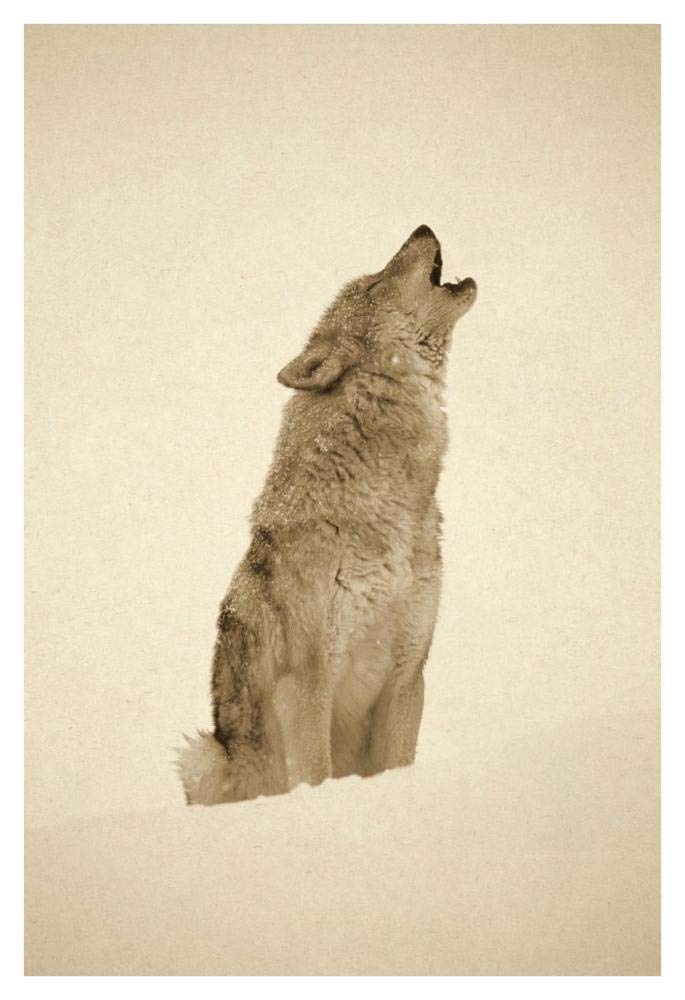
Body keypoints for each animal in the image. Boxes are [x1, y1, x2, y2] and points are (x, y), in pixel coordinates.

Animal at [177, 225, 476, 805]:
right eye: (376, 282)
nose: (422, 227)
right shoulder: (307, 684)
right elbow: (314, 773)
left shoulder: (408, 675)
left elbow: (398, 763)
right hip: (203, 756)